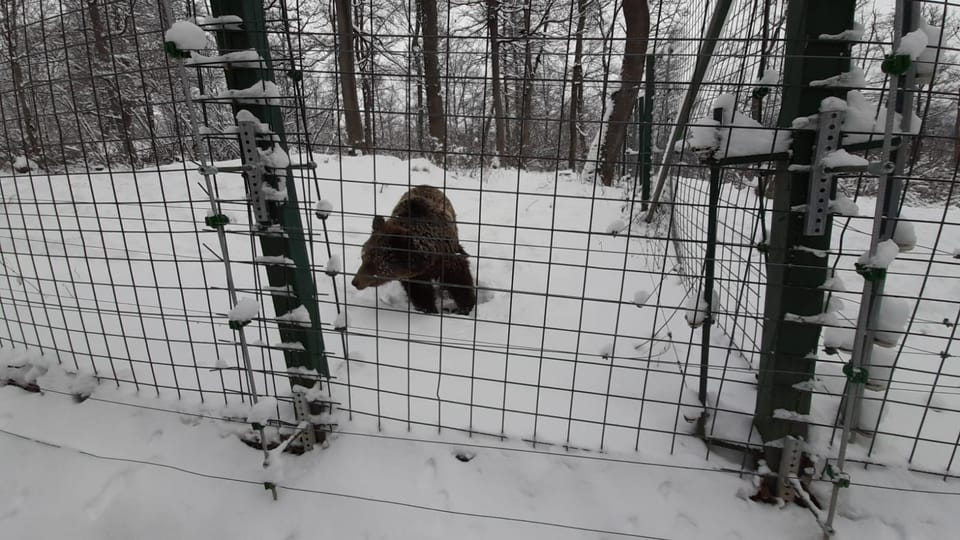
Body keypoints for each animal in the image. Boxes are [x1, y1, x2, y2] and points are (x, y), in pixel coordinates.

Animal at [348, 186, 476, 314]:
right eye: (363, 256)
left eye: (376, 262)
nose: (355, 282)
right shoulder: (414, 276)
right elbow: (420, 292)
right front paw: (429, 309)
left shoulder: (447, 257)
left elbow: (459, 280)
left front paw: (464, 307)